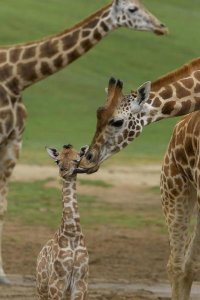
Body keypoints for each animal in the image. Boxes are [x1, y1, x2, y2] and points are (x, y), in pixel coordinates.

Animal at [36, 144, 89, 298]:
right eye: (57, 161)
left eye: (77, 159)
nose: (63, 171)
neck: (72, 234)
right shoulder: (56, 283)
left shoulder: (81, 283)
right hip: (42, 289)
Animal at [77, 59, 200, 300]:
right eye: (98, 115)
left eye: (117, 121)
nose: (87, 159)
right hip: (173, 188)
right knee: (178, 265)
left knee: (186, 264)